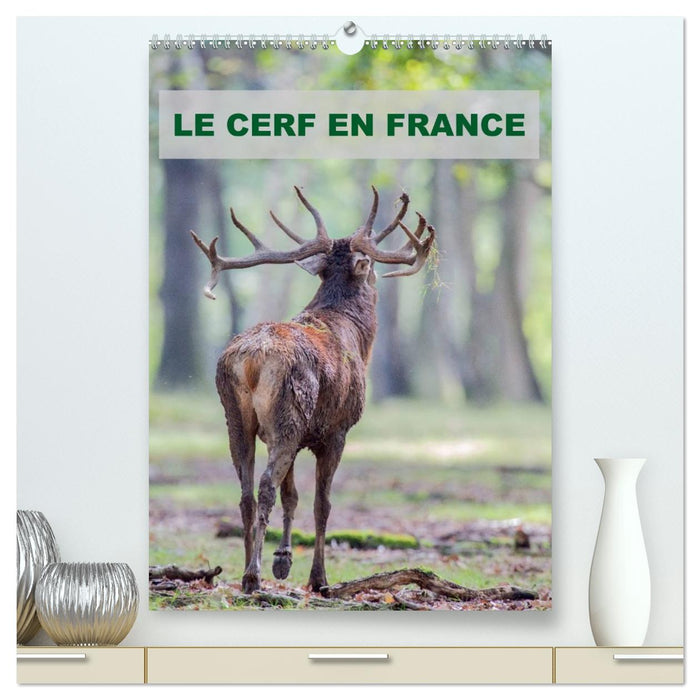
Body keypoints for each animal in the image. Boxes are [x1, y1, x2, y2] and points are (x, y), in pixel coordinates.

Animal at [190, 186, 435, 594]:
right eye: (371, 265)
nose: (377, 280)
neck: (355, 335)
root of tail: (252, 359)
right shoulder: (336, 430)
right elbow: (322, 504)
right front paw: (318, 578)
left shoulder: (294, 432)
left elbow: (292, 496)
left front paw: (283, 560)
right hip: (288, 413)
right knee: (265, 487)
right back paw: (252, 575)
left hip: (237, 417)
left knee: (245, 493)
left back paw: (245, 571)